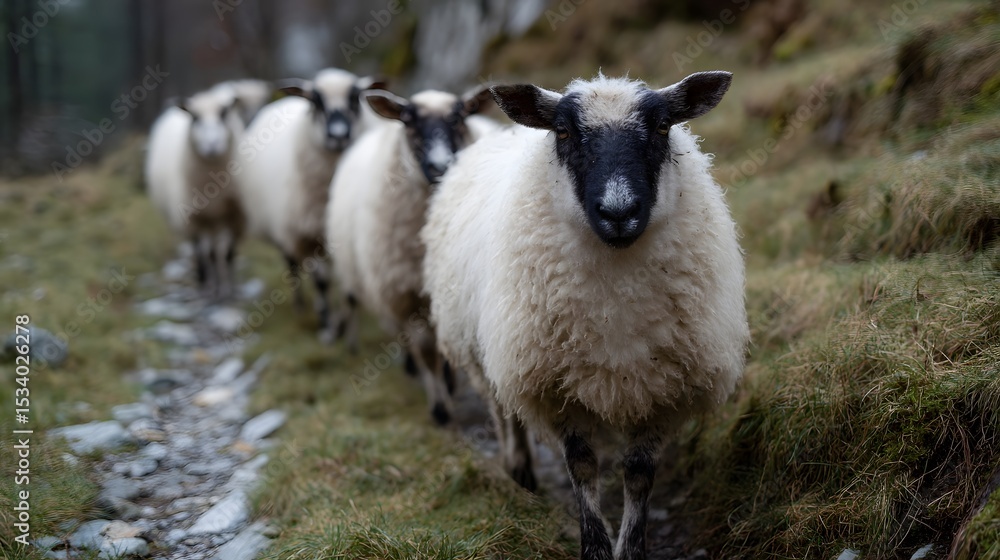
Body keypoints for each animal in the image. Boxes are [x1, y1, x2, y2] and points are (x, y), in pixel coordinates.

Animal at [145, 86, 246, 299]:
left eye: (223, 114)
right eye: (195, 117)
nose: (212, 145)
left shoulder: (235, 216)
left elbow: (229, 253)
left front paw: (229, 288)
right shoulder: (193, 219)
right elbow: (200, 254)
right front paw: (206, 287)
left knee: (216, 251)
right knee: (206, 252)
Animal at [234, 69, 384, 340]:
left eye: (355, 97)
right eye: (316, 100)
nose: (338, 135)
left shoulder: (340, 233)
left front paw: (342, 323)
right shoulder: (309, 234)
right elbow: (321, 282)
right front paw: (326, 323)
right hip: (284, 229)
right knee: (292, 265)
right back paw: (301, 306)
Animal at [326, 86, 496, 425]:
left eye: (459, 116)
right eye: (407, 120)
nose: (439, 166)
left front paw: (447, 388)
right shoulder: (405, 294)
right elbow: (426, 349)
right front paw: (440, 408)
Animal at [421, 72, 749, 560]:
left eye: (662, 127)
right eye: (562, 132)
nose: (618, 212)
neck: (616, 296)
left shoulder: (665, 389)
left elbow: (639, 472)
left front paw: (630, 550)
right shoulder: (553, 385)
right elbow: (581, 466)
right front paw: (594, 548)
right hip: (490, 350)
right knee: (503, 412)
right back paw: (519, 471)